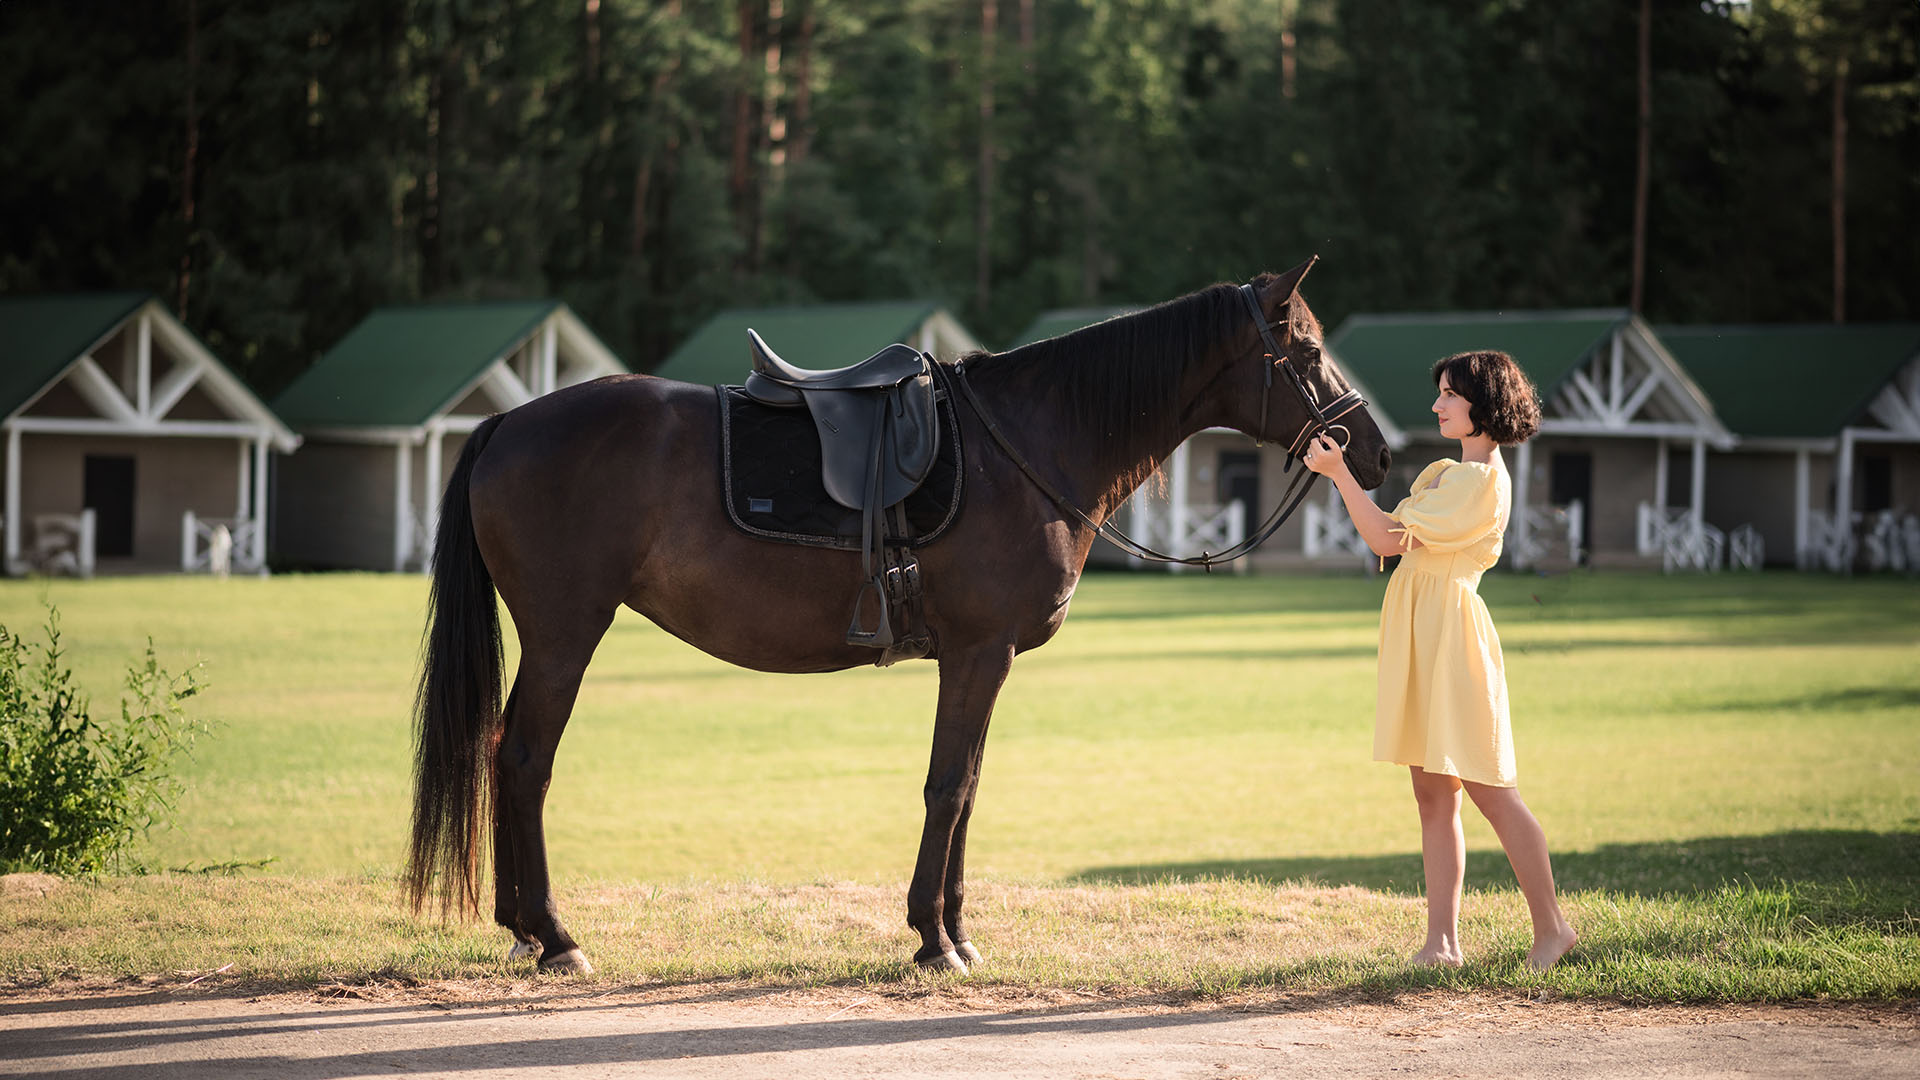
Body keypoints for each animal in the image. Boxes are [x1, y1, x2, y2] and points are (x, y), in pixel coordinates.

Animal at [412, 259, 1390, 968]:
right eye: (1306, 353)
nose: (1374, 452)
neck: (1026, 445)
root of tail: (507, 424)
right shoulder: (979, 652)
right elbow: (947, 785)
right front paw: (934, 938)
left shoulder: (985, 660)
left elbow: (967, 787)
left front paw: (953, 931)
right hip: (565, 632)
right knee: (526, 760)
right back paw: (554, 936)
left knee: (503, 753)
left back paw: (521, 927)